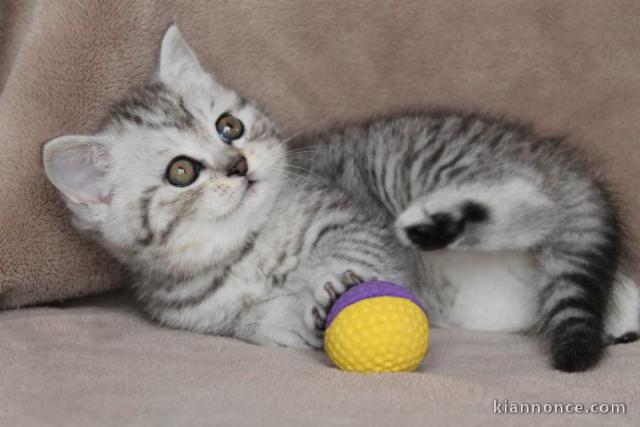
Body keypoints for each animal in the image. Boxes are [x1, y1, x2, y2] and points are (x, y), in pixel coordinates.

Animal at [42, 25, 636, 372]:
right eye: (181, 172)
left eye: (229, 127)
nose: (238, 165)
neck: (245, 248)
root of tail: (560, 160)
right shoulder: (200, 316)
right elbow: (253, 324)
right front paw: (292, 316)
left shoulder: (354, 222)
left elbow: (352, 254)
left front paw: (325, 288)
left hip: (408, 163)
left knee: (537, 203)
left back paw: (438, 221)